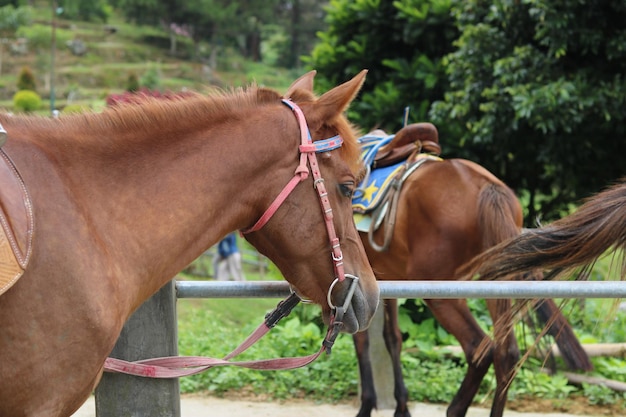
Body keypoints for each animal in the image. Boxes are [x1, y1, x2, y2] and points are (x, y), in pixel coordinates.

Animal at [354, 126, 588, 416]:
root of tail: (485, 186)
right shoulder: (386, 280)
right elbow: (392, 338)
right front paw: (401, 407)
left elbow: (362, 340)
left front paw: (367, 405)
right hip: (494, 281)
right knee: (507, 352)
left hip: (441, 293)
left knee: (481, 348)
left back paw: (455, 407)